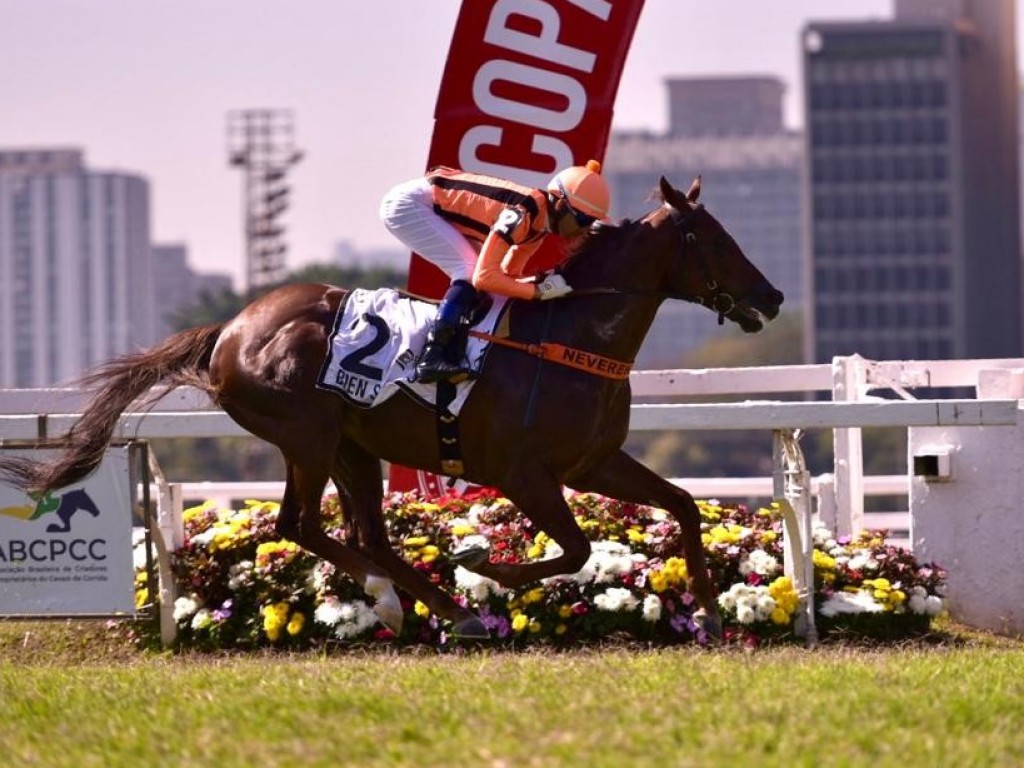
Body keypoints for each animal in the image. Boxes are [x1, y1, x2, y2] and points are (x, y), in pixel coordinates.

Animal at [2, 177, 782, 638]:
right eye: (714, 238)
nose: (772, 297)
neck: (569, 338)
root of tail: (230, 329)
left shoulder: (593, 463)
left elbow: (681, 504)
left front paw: (711, 611)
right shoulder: (525, 475)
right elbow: (578, 548)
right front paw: (489, 567)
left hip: (353, 445)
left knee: (364, 534)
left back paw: (437, 608)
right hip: (308, 435)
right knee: (301, 525)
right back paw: (405, 600)